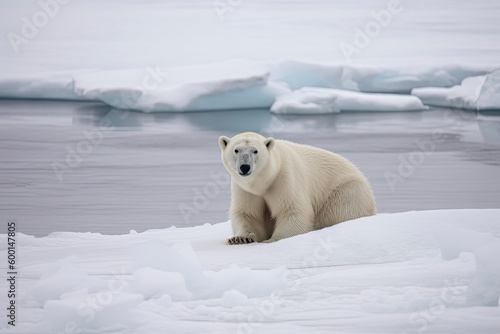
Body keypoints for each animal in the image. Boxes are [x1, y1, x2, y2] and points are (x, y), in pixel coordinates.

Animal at [219, 132, 376, 244]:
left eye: (255, 151)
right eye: (236, 150)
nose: (245, 167)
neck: (264, 181)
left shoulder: (285, 177)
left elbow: (293, 210)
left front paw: (272, 240)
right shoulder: (245, 189)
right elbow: (248, 213)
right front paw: (240, 238)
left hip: (347, 191)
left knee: (339, 210)